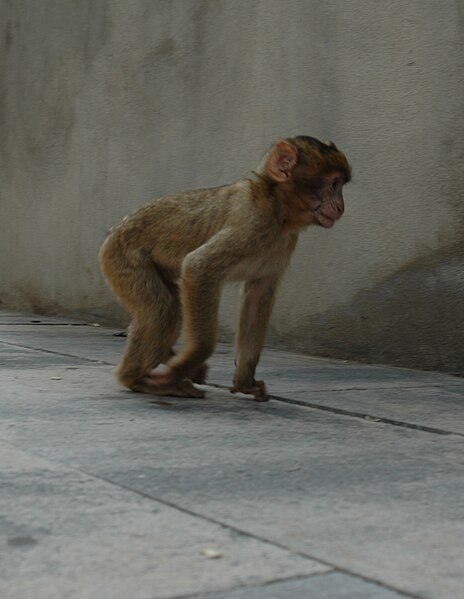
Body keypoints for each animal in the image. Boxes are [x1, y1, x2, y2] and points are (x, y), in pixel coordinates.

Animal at [99, 136, 352, 404]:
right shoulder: (252, 223)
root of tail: (114, 231)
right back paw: (135, 379)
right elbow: (199, 268)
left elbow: (257, 296)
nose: (341, 206)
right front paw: (183, 367)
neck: (277, 209)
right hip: (121, 258)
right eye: (334, 184)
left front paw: (245, 381)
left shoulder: (284, 244)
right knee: (161, 309)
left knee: (170, 308)